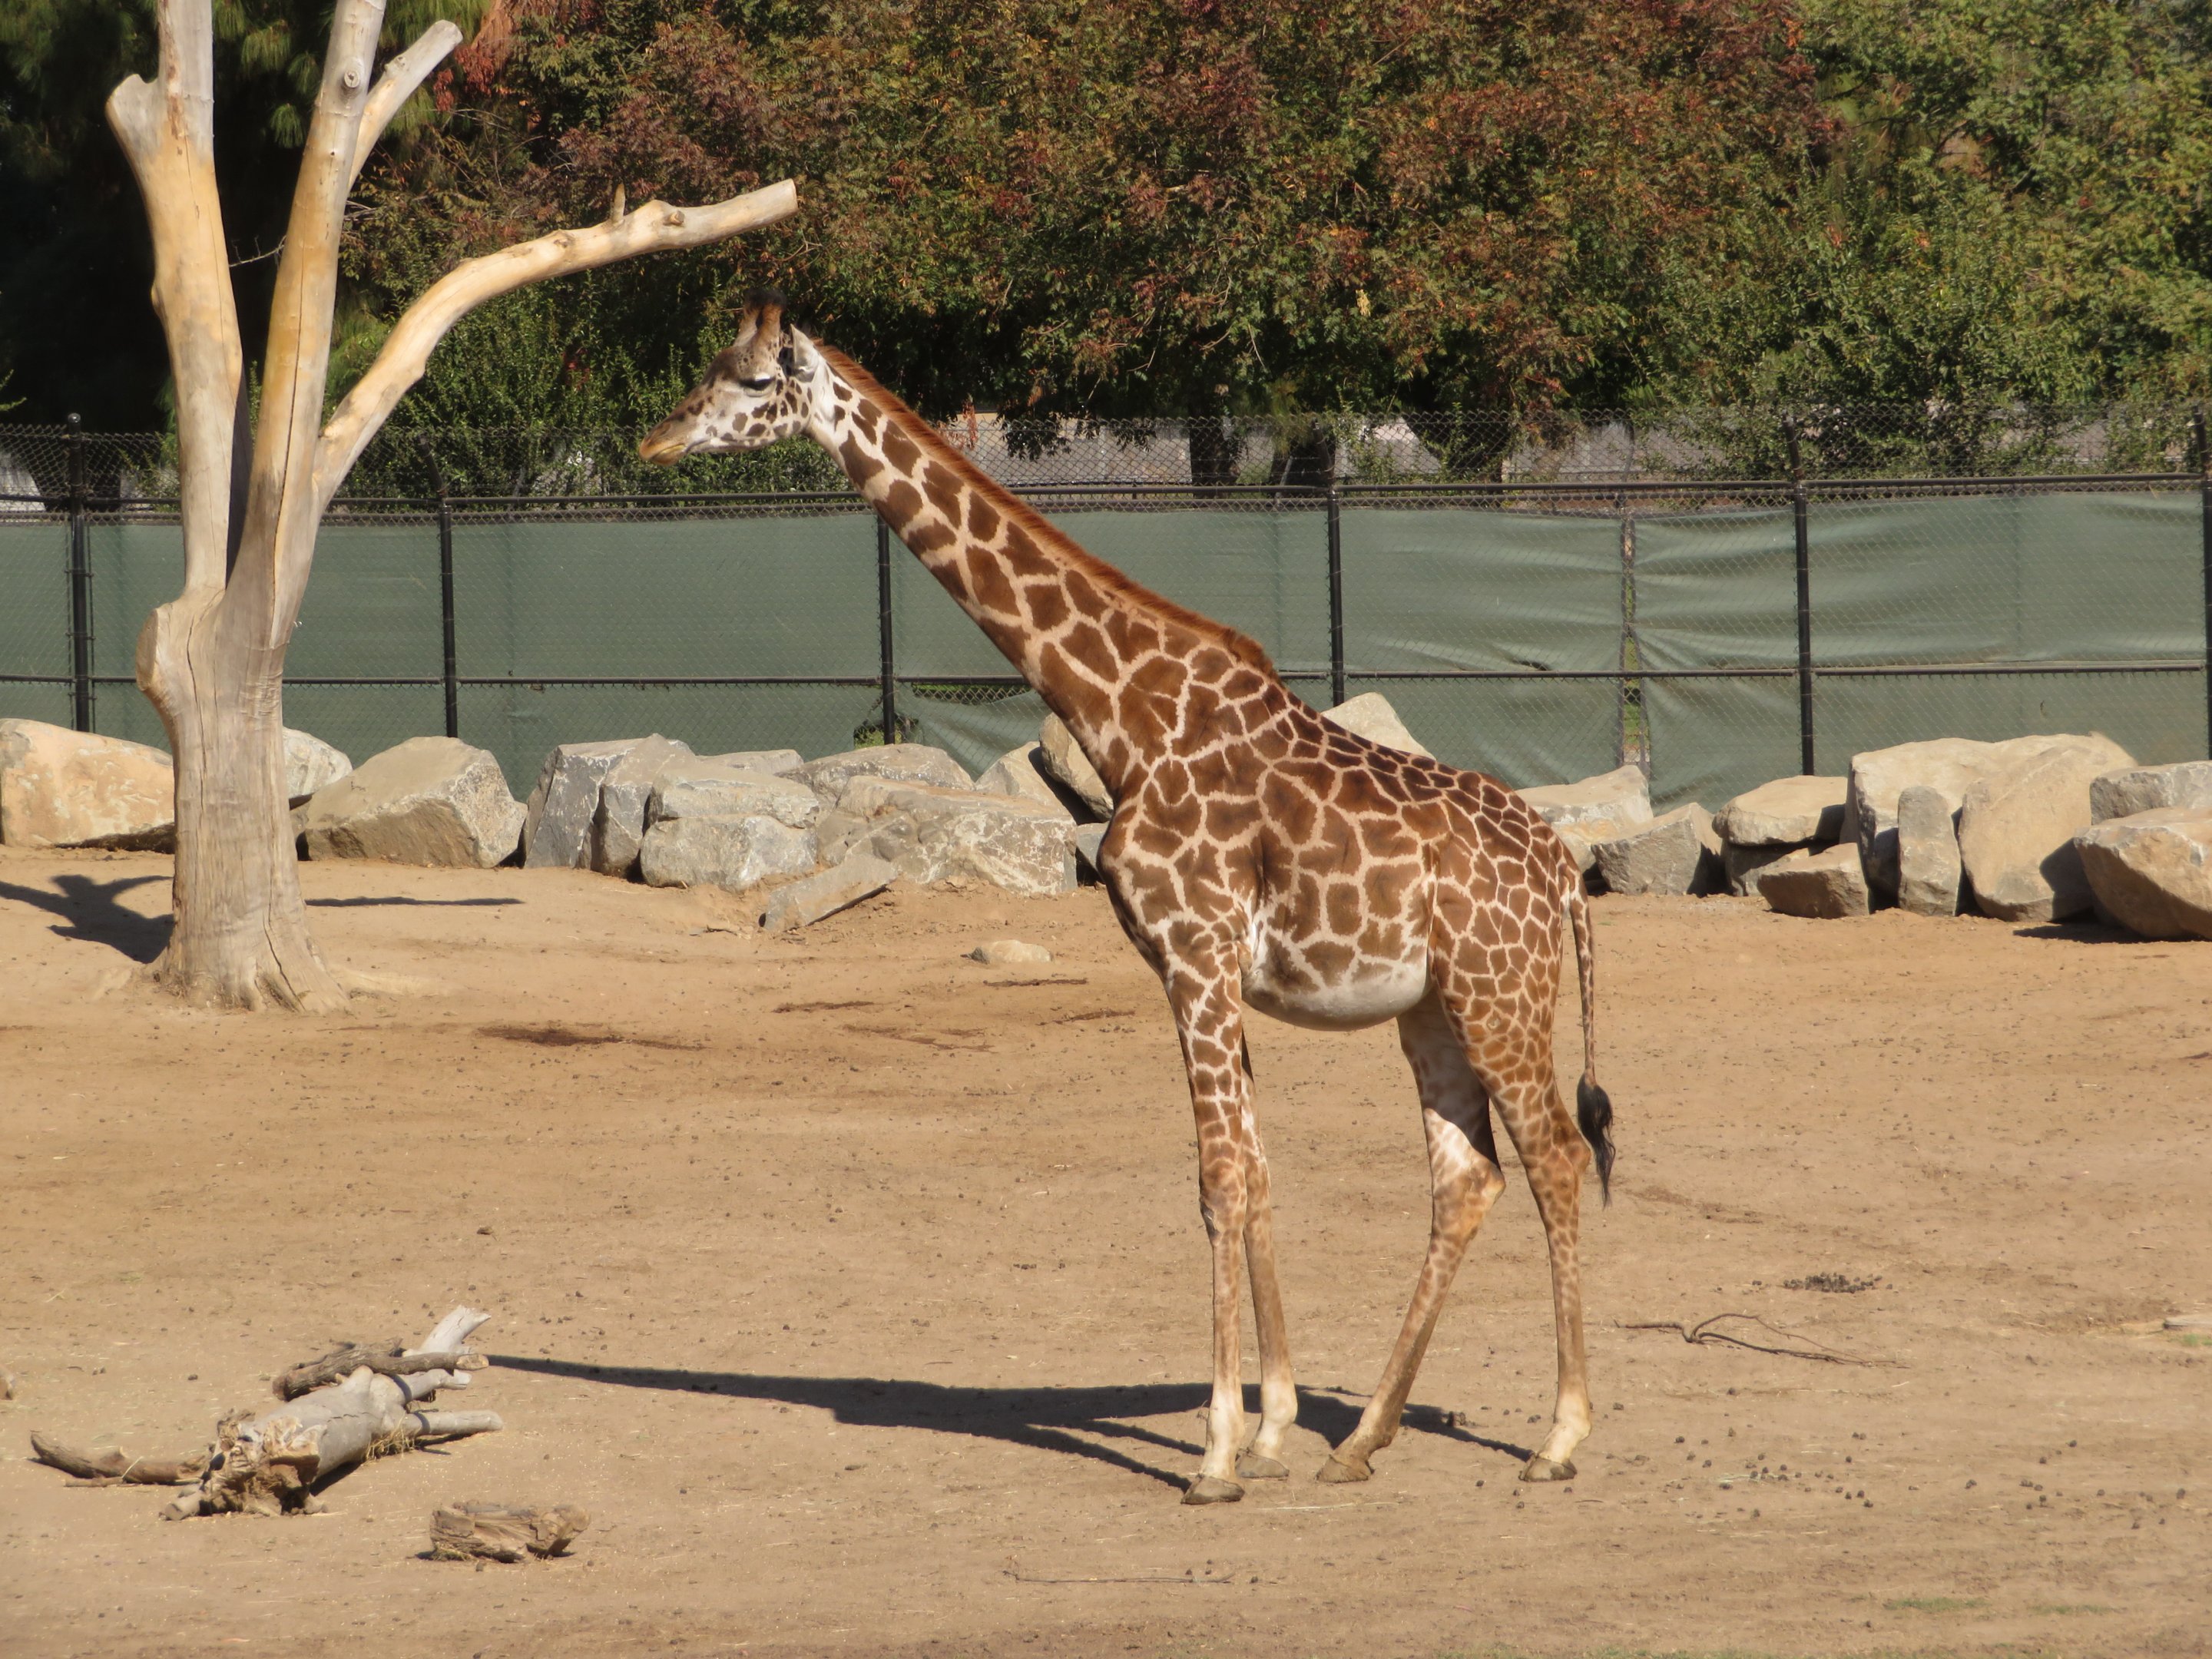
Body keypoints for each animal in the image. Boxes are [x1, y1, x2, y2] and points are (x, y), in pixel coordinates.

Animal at [641, 295, 1619, 1505]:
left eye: (746, 380)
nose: (655, 441)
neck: (1123, 716)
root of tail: (1563, 871)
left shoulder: (1193, 952)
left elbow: (1217, 1181)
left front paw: (1214, 1456)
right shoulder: (1199, 965)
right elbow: (1254, 1169)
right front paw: (1273, 1426)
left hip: (1500, 994)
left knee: (1556, 1157)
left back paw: (1559, 1437)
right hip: (1431, 1008)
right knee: (1467, 1176)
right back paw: (1362, 1437)